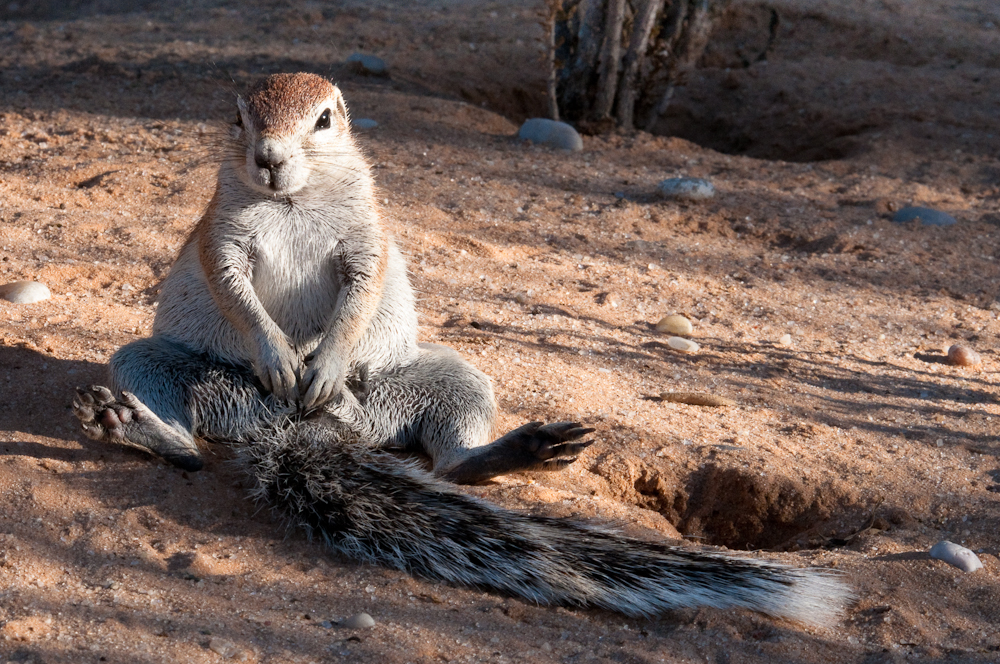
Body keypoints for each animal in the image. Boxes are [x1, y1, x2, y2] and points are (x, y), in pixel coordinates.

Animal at [70, 75, 852, 624]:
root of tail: (299, 427)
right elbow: (235, 290)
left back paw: (510, 449)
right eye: (239, 117)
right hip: (152, 364)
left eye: (323, 119)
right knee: (188, 446)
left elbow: (359, 295)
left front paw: (322, 360)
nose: (266, 159)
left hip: (449, 379)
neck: (293, 199)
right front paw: (279, 353)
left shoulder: (367, 241)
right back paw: (132, 425)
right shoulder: (220, 236)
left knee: (450, 459)